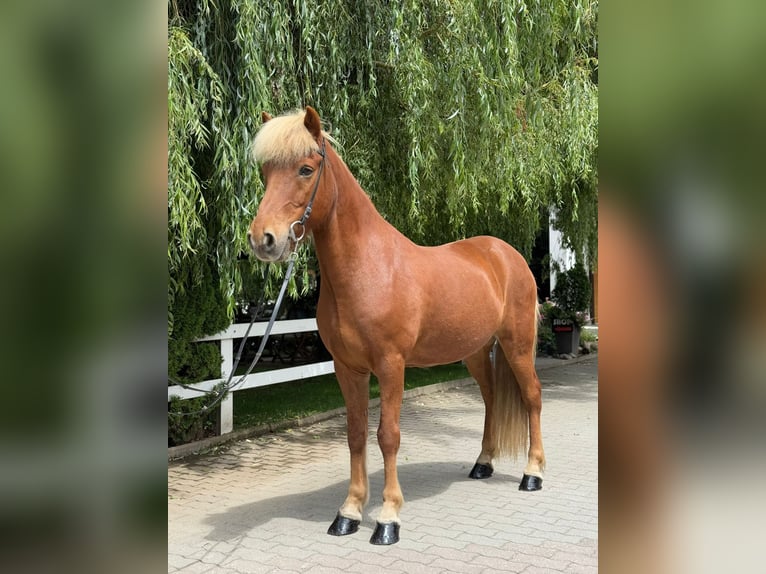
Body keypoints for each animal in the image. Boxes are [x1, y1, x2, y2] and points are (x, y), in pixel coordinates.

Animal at [248, 107, 545, 545]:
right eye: (266, 172)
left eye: (305, 169)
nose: (264, 240)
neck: (369, 268)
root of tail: (505, 253)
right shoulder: (347, 369)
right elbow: (355, 434)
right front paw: (349, 513)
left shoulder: (391, 366)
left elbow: (387, 435)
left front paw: (387, 518)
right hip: (475, 351)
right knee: (492, 398)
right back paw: (483, 464)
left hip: (518, 344)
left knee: (532, 397)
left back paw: (533, 474)